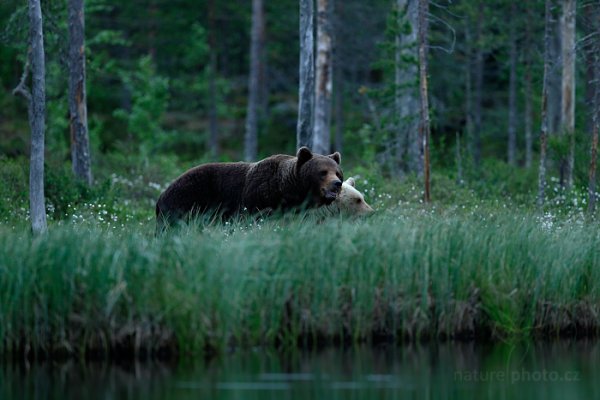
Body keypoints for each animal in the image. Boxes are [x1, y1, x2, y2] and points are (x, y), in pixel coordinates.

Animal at [156, 146, 342, 228]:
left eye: (338, 172)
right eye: (323, 172)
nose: (337, 184)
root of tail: (161, 196)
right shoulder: (256, 198)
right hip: (187, 202)